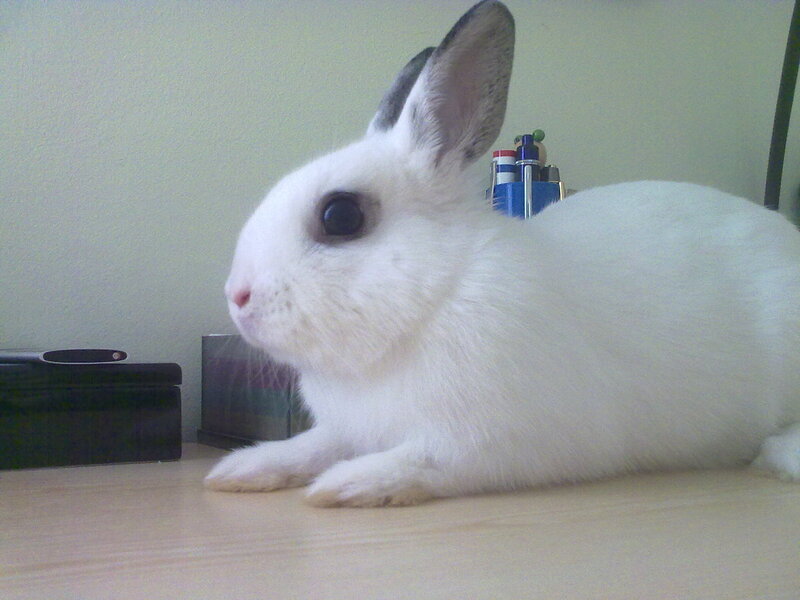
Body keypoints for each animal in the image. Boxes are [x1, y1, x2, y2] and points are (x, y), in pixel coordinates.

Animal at [204, 0, 800, 507]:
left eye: (341, 216)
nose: (236, 297)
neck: (438, 296)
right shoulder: (349, 428)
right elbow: (315, 445)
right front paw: (241, 470)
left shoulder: (493, 443)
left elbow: (423, 460)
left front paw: (349, 485)